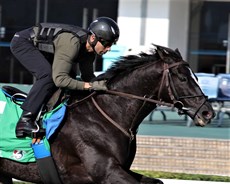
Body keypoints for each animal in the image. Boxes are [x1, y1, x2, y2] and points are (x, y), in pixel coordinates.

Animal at [0, 45, 216, 184]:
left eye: (196, 76)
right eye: (182, 77)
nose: (208, 112)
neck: (106, 115)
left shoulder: (120, 169)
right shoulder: (106, 172)